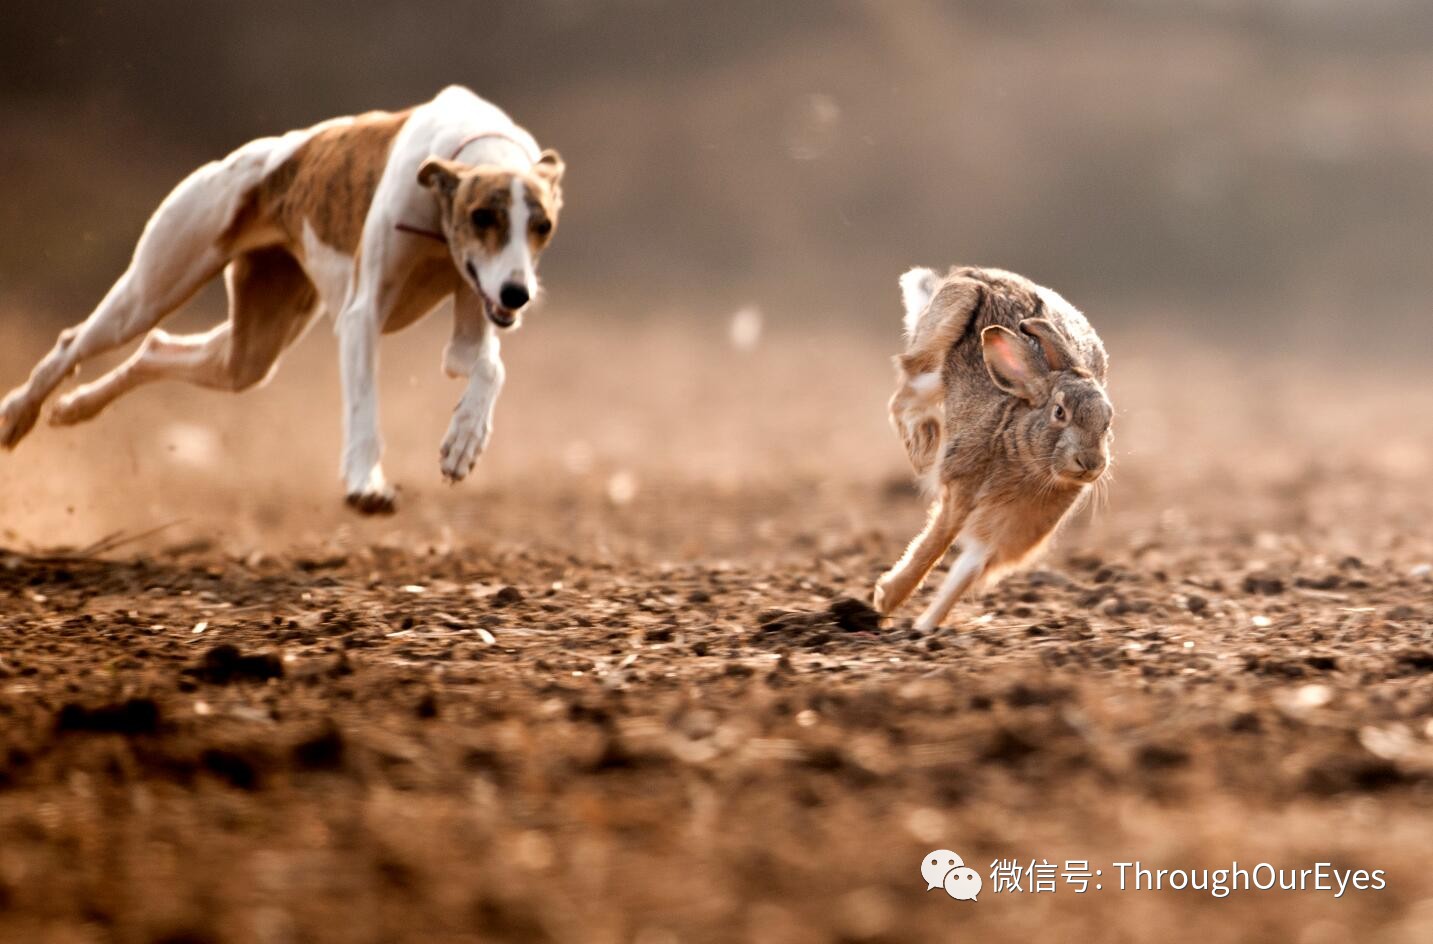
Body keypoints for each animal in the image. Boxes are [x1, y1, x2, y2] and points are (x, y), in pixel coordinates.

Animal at [2, 86, 567, 515]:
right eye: (482, 216)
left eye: (542, 226)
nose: (517, 294)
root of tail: (258, 156)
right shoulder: (362, 318)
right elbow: (364, 409)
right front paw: (366, 484)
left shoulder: (473, 310)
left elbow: (487, 367)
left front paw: (465, 442)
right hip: (149, 290)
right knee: (75, 341)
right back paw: (17, 414)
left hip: (250, 354)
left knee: (159, 350)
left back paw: (74, 408)